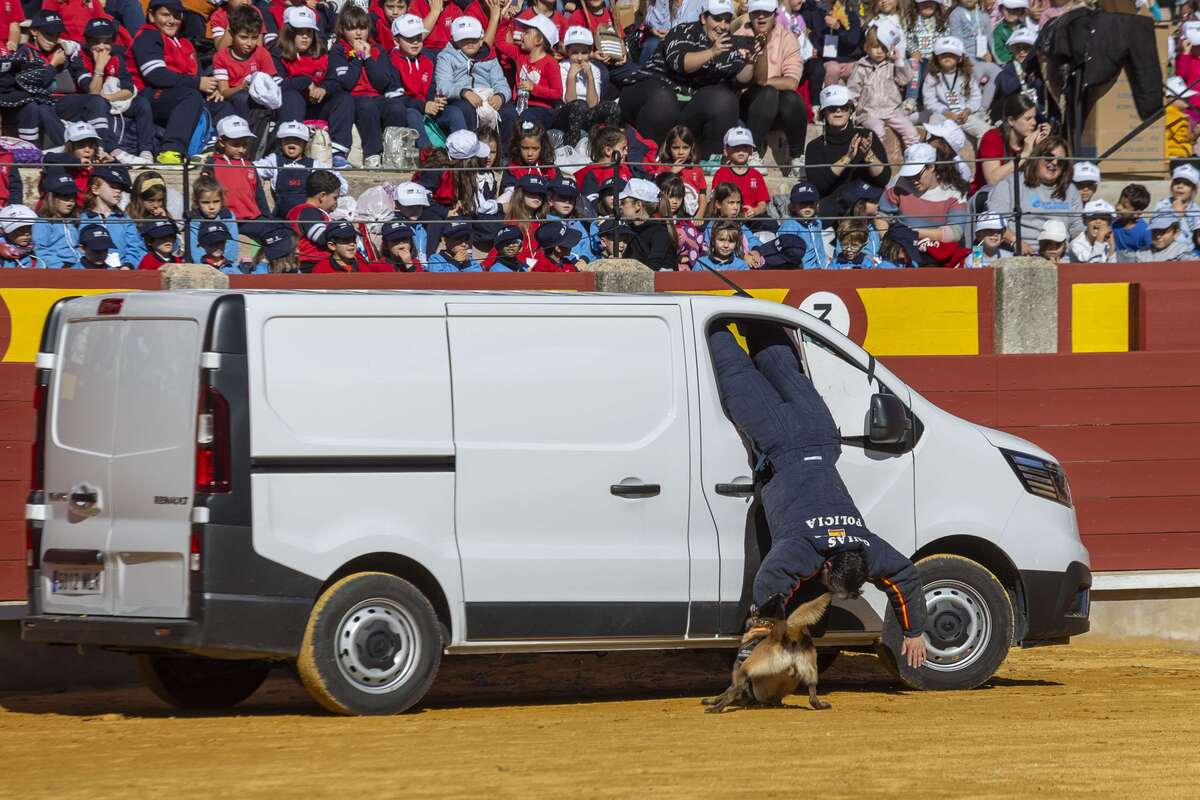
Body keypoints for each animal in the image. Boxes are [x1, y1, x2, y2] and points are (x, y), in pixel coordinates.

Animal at [700, 592, 835, 714]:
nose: (779, 594)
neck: (763, 628)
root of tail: (786, 634)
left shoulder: (736, 675)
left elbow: (725, 692)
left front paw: (712, 700)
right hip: (811, 671)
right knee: (812, 697)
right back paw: (820, 705)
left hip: (745, 670)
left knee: (732, 694)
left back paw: (716, 709)